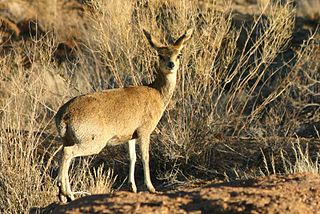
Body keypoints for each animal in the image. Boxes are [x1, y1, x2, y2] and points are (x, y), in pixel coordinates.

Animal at [55, 28, 192, 202]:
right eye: (161, 55)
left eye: (178, 54)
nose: (171, 65)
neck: (157, 93)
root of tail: (63, 115)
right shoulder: (144, 131)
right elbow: (145, 157)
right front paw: (151, 187)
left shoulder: (130, 136)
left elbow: (132, 157)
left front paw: (132, 187)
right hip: (94, 142)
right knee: (68, 153)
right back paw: (65, 193)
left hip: (68, 139)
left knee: (65, 155)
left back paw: (67, 195)